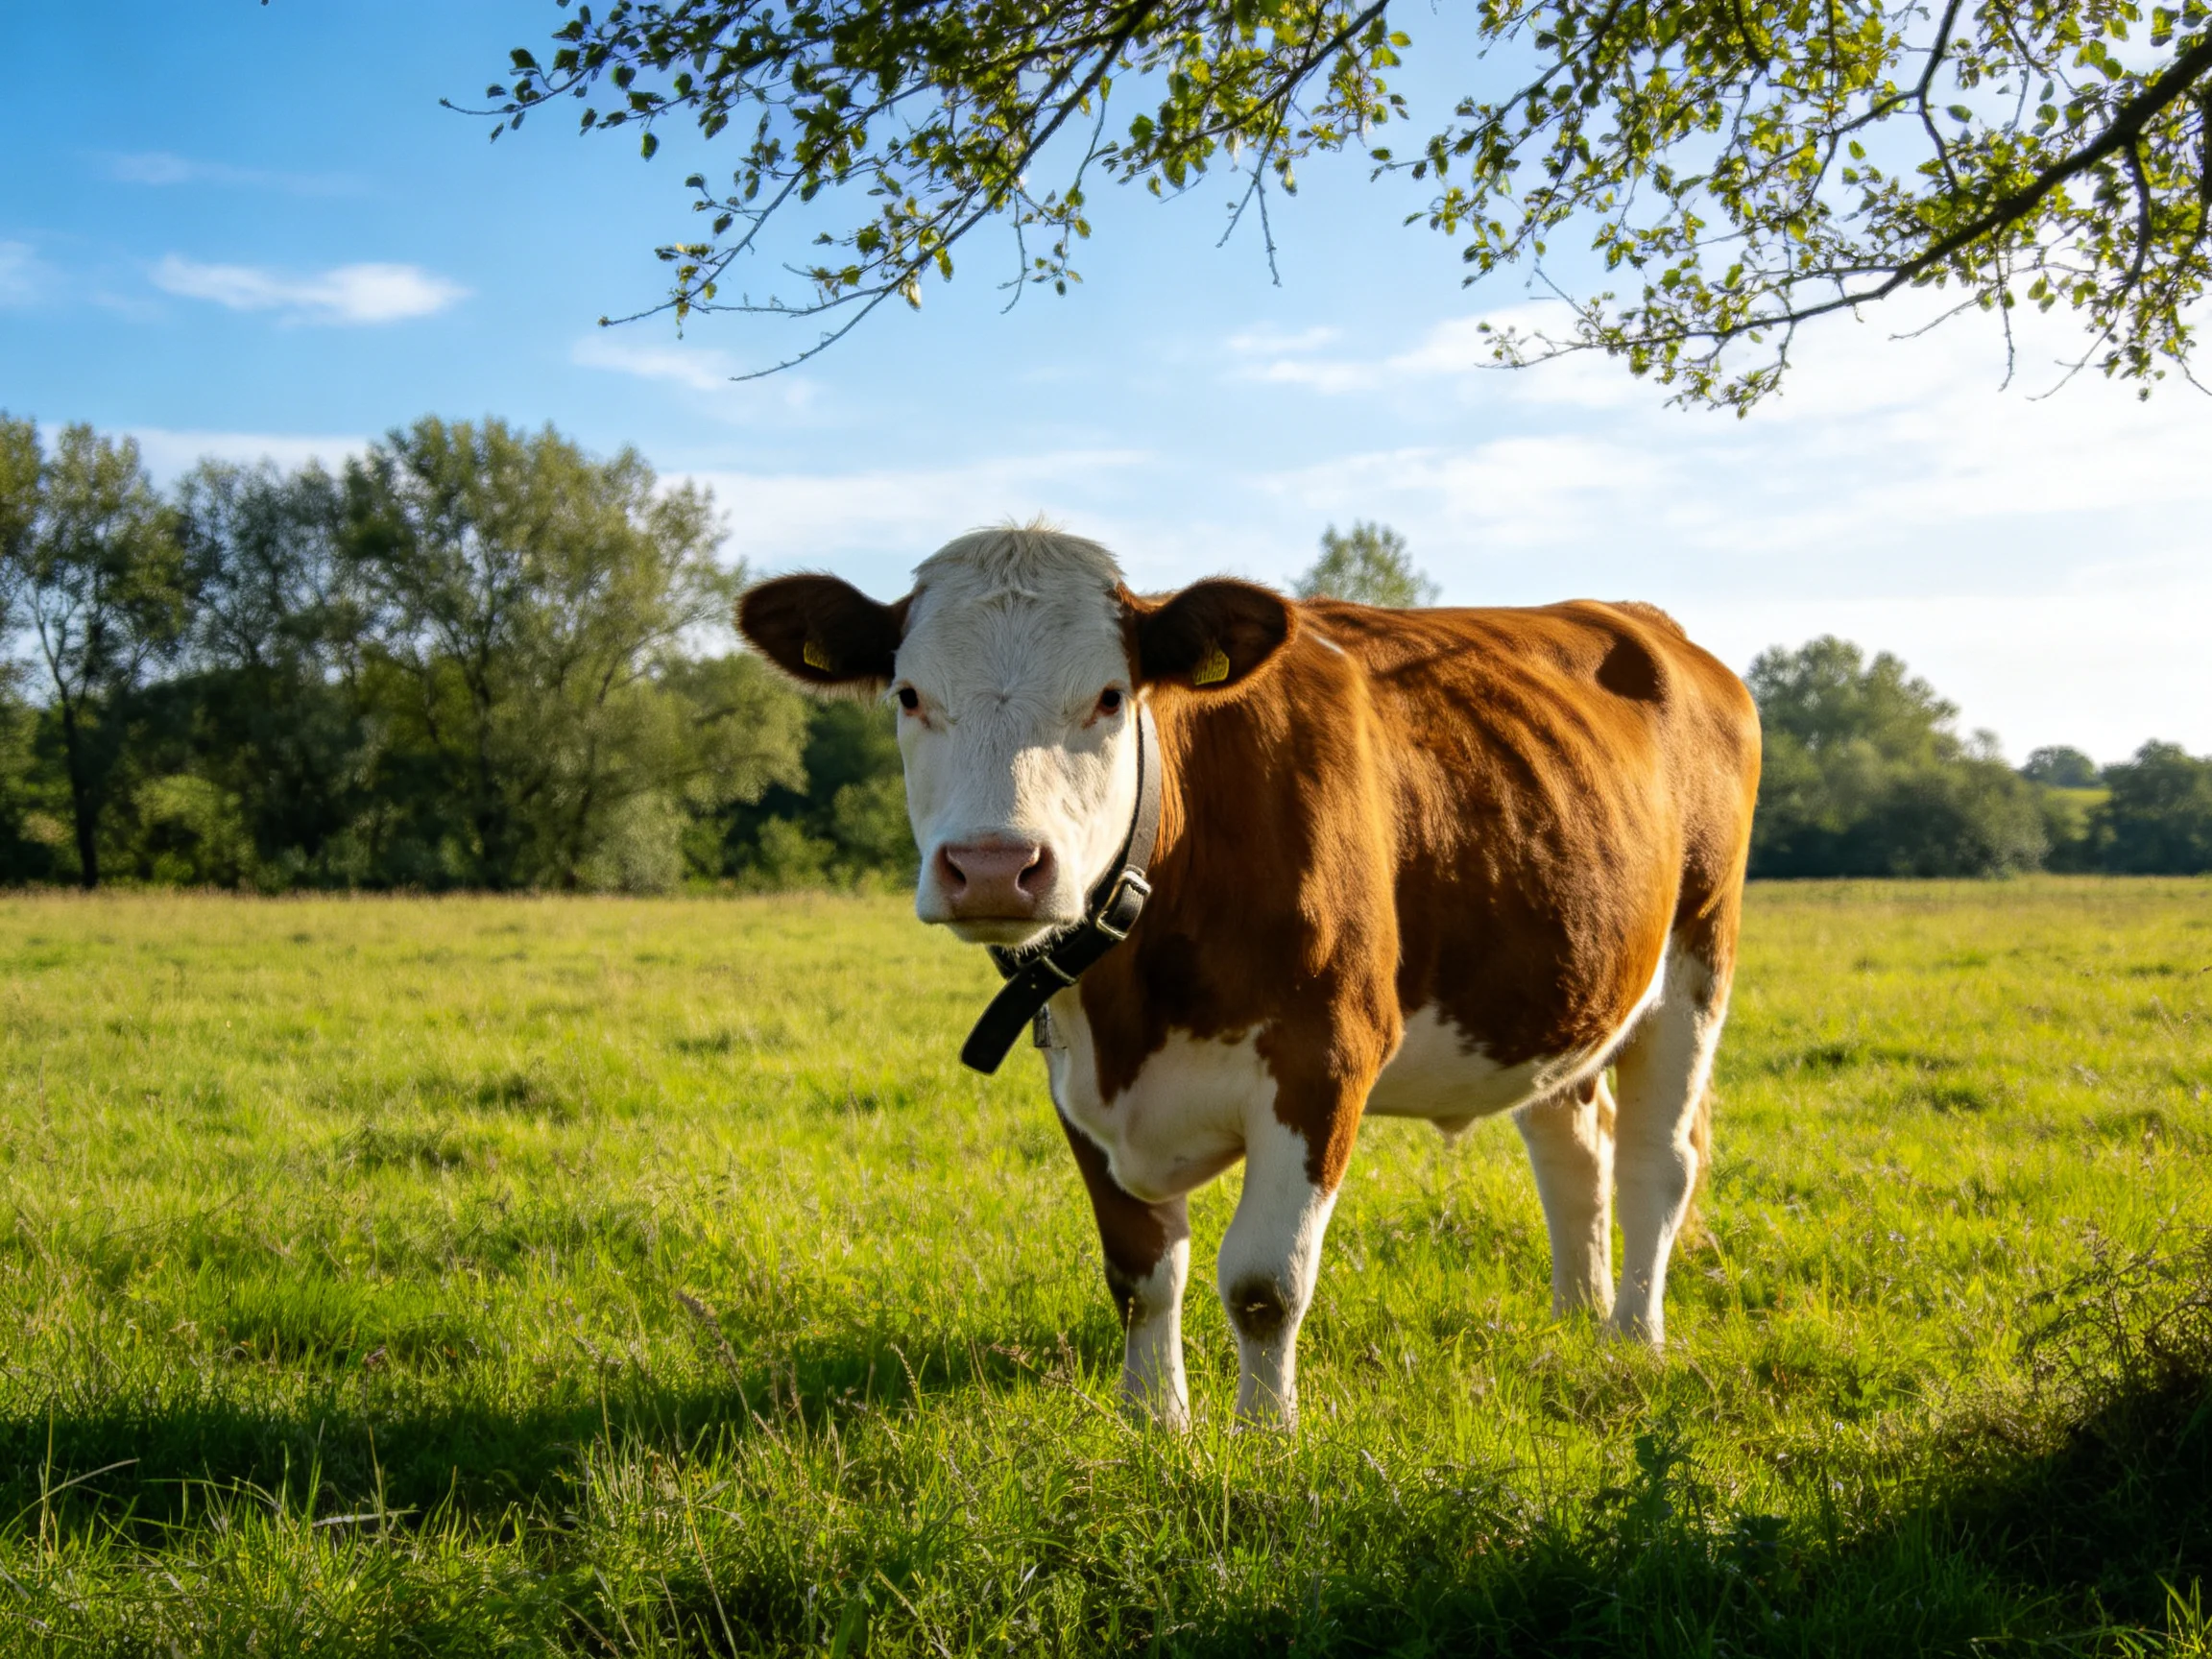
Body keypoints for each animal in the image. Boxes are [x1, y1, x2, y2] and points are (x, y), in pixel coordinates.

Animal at [738, 526, 1760, 1429]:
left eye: (1109, 697)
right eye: (909, 695)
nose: (994, 866)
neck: (1136, 997)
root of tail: (1645, 621)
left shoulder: (1324, 1058)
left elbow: (1265, 1283)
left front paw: (1264, 1438)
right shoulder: (1074, 1074)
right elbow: (1141, 1275)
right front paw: (1154, 1424)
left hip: (1697, 960)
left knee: (1657, 1161)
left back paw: (1631, 1338)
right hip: (1559, 984)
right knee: (1571, 1145)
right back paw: (1574, 1321)